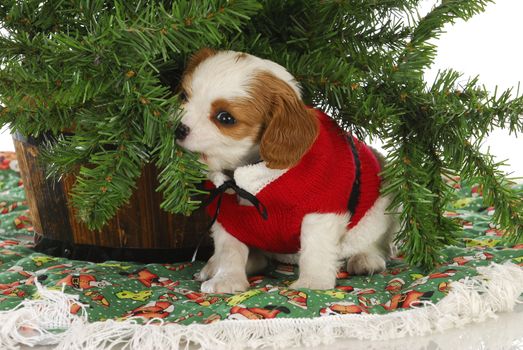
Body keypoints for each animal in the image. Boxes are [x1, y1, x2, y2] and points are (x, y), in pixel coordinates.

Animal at [176, 48, 398, 292]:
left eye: (225, 118)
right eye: (184, 96)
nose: (179, 129)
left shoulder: (320, 209)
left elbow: (315, 248)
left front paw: (312, 283)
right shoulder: (227, 214)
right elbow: (230, 250)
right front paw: (227, 279)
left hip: (381, 213)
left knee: (375, 244)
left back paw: (365, 259)